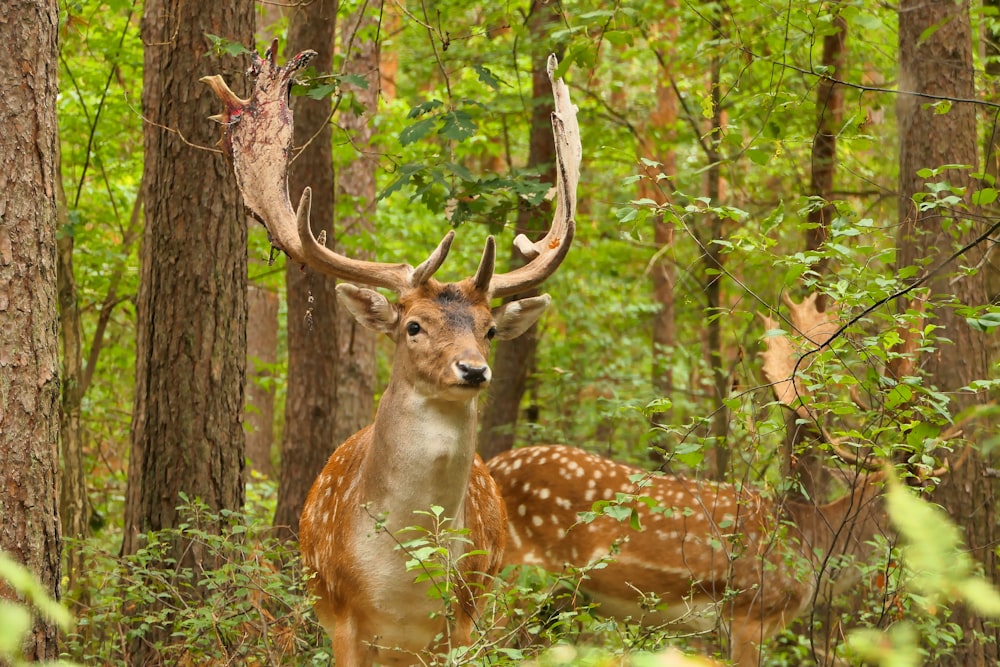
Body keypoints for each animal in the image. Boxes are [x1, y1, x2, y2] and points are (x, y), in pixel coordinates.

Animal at [201, 43, 580, 667]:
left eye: (489, 329)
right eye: (413, 326)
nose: (473, 369)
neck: (403, 578)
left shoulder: (462, 619)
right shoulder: (343, 617)